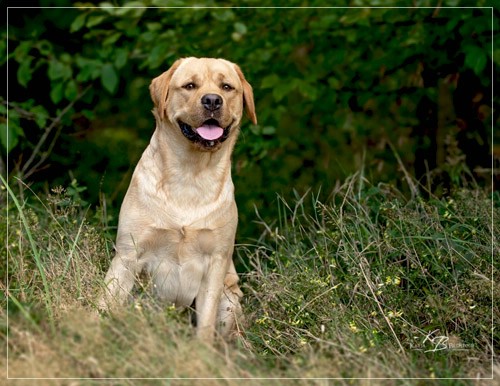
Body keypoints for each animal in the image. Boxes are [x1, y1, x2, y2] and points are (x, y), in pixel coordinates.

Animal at [101, 56, 258, 340]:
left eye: (226, 87)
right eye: (190, 85)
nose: (212, 100)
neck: (191, 175)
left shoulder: (215, 263)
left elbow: (205, 324)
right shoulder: (128, 255)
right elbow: (104, 303)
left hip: (229, 300)